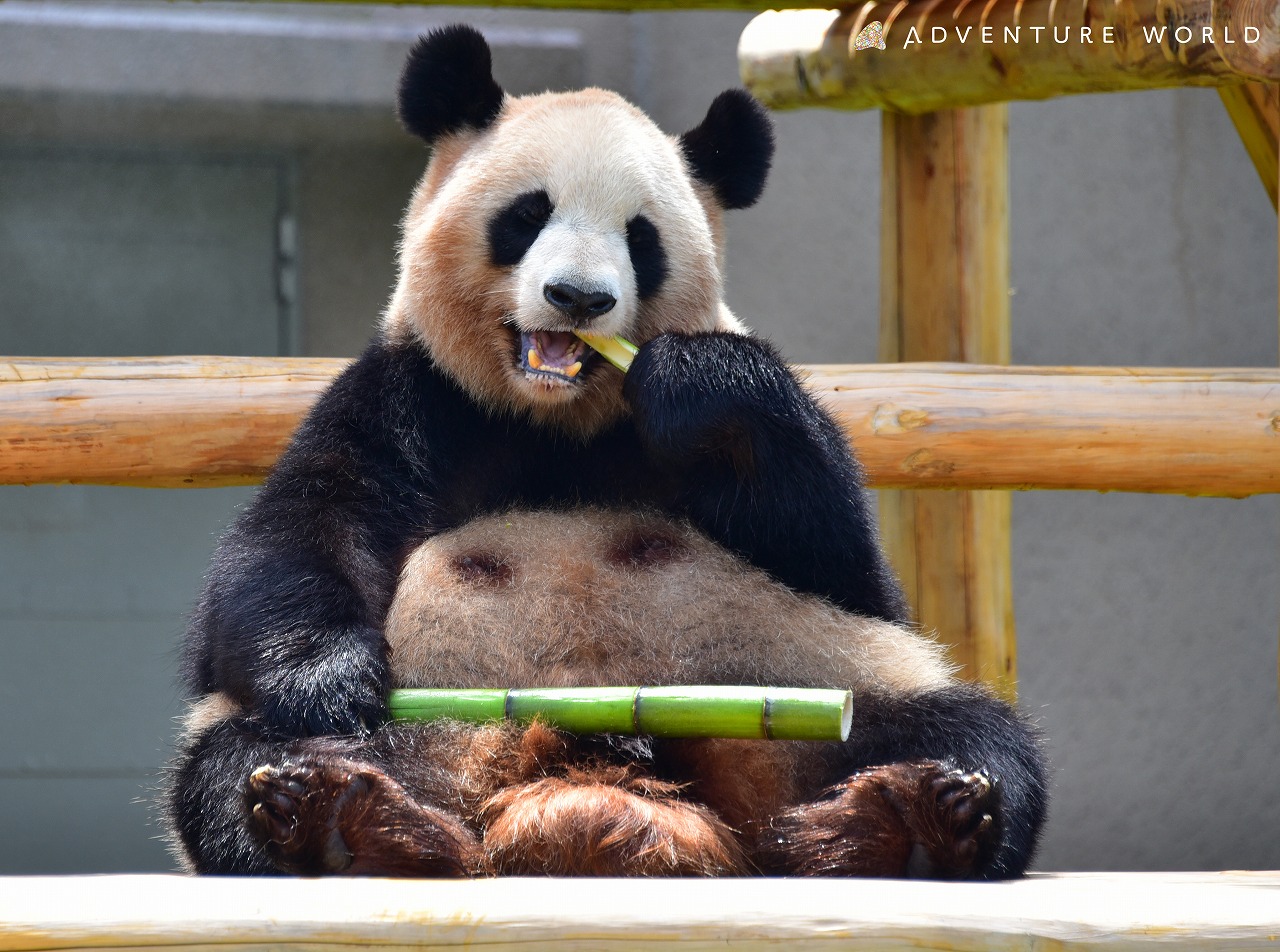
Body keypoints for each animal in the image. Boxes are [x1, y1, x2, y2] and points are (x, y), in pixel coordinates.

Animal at [165, 26, 1044, 880]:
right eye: (527, 214)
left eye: (640, 237)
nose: (579, 298)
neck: (555, 417)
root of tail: (576, 782)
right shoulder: (409, 398)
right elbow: (296, 537)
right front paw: (328, 680)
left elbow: (843, 562)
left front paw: (700, 381)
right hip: (418, 729)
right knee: (234, 760)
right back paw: (325, 815)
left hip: (820, 691)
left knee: (965, 733)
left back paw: (913, 817)